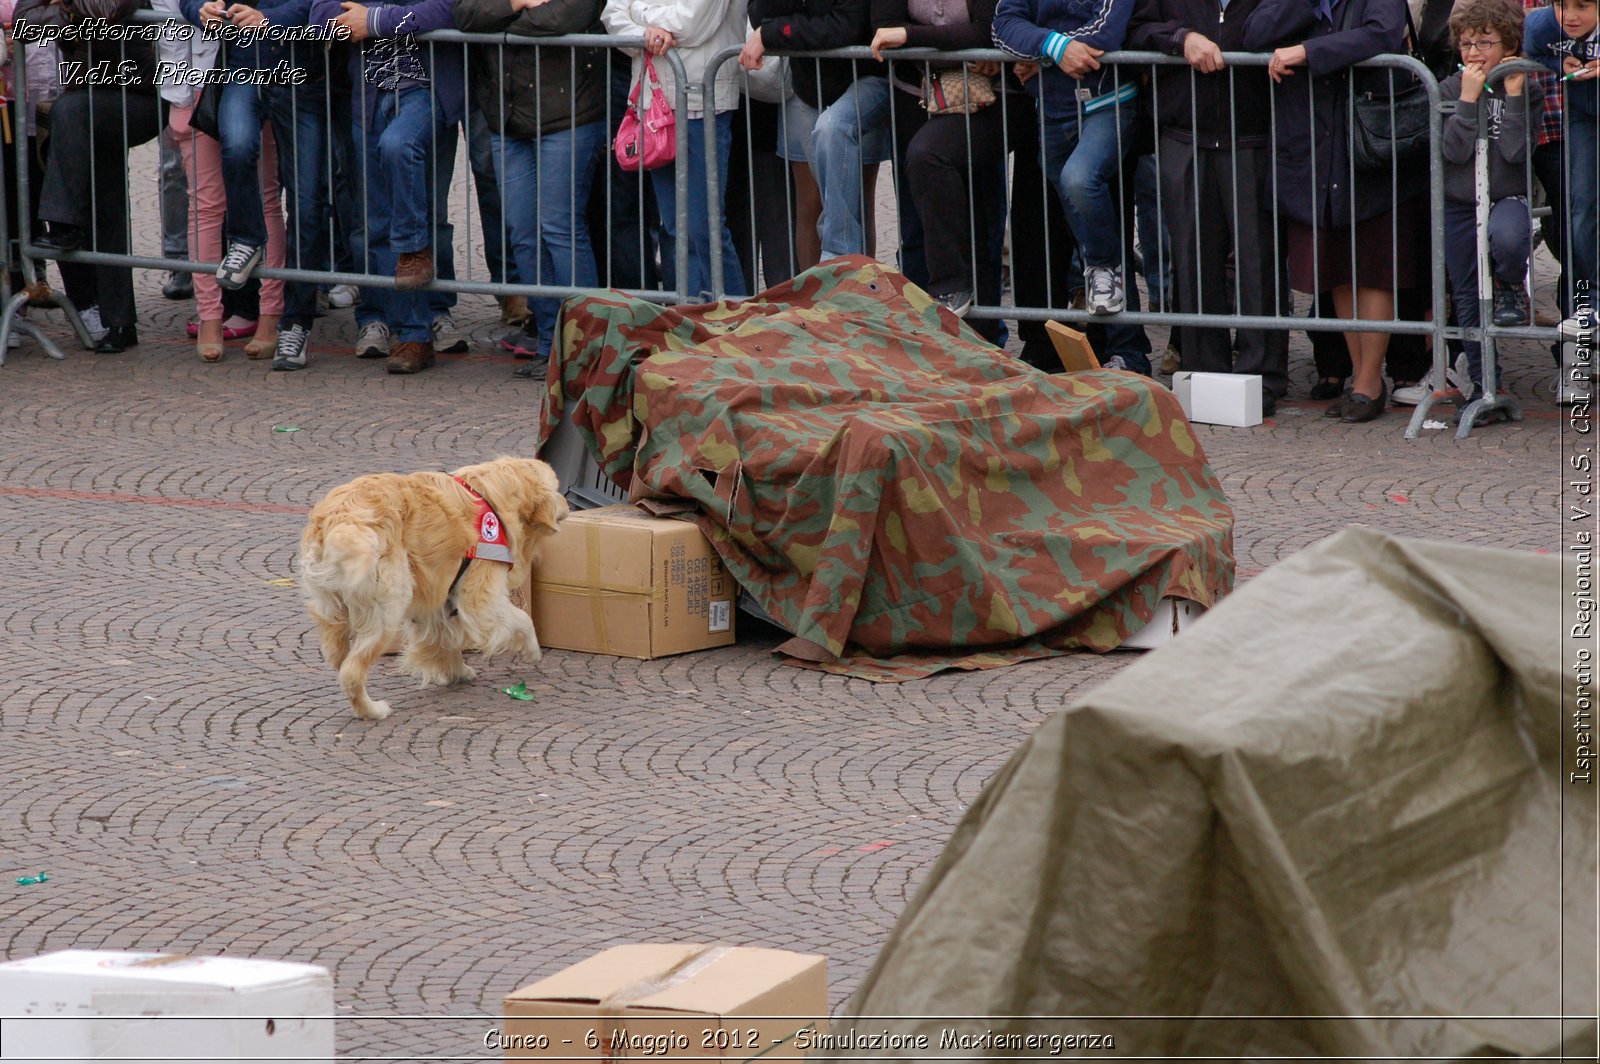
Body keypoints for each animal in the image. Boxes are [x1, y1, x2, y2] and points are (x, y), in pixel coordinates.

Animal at [299, 451, 569, 716]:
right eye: (557, 487)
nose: (568, 504)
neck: (496, 496)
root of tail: (341, 518)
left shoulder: (438, 596)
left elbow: (444, 639)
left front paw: (457, 671)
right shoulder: (480, 598)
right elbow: (522, 619)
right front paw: (531, 651)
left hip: (334, 608)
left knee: (338, 656)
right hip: (387, 606)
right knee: (352, 671)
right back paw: (373, 710)